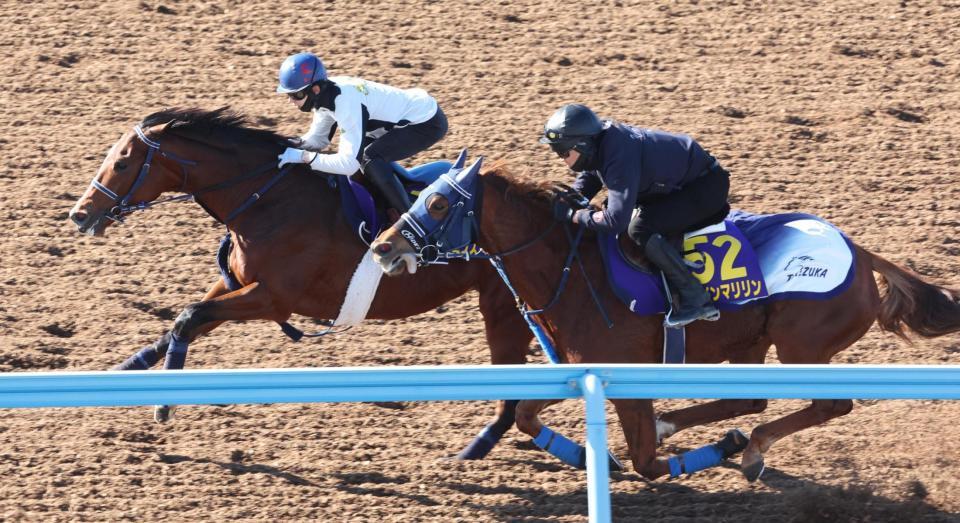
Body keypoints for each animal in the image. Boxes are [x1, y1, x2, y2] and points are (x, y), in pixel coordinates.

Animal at [67, 108, 532, 460]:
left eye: (122, 163)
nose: (80, 214)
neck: (267, 200)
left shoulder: (272, 300)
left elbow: (187, 317)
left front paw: (164, 404)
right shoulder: (236, 284)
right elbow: (183, 322)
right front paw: (123, 373)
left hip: (507, 307)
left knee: (512, 387)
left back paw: (473, 450)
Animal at [372, 157, 960, 484]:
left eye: (440, 204)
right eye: (422, 196)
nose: (381, 247)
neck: (571, 269)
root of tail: (860, 254)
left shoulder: (625, 377)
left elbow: (648, 465)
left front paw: (717, 449)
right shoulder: (582, 368)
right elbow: (526, 417)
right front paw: (595, 458)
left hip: (803, 346)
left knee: (828, 405)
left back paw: (750, 450)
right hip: (751, 341)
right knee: (753, 399)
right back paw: (695, 428)